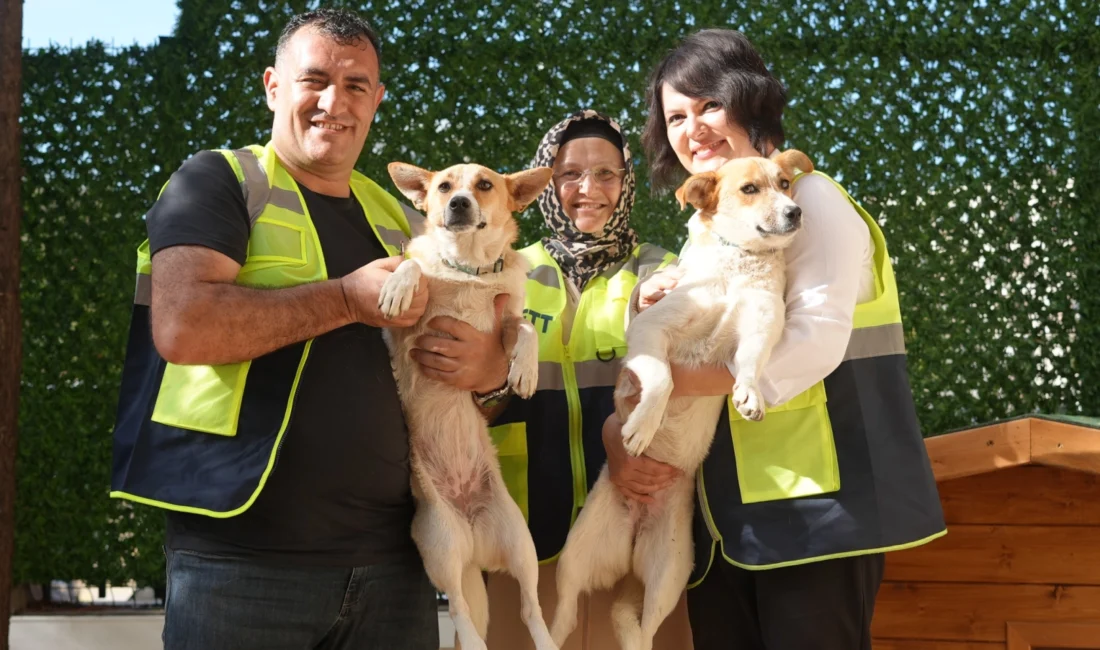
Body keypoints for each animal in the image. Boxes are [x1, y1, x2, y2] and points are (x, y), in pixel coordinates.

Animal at [382, 161, 563, 650]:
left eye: (484, 185)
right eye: (444, 186)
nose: (458, 204)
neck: (470, 270)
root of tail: (471, 541)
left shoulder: (507, 321)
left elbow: (526, 329)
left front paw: (525, 372)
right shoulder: (402, 336)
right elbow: (414, 266)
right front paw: (399, 284)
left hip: (522, 546)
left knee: (529, 607)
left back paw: (545, 641)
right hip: (440, 546)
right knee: (461, 610)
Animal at [547, 149, 814, 646]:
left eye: (786, 183)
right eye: (750, 189)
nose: (796, 212)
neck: (737, 265)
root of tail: (634, 532)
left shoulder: (762, 326)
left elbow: (751, 364)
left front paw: (750, 394)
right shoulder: (651, 330)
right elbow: (663, 380)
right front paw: (642, 426)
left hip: (668, 580)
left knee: (641, 630)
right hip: (574, 560)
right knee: (566, 616)